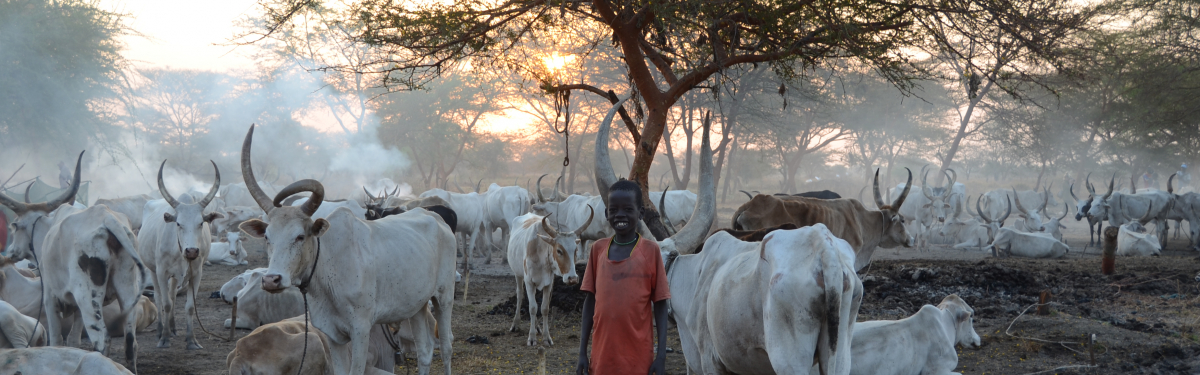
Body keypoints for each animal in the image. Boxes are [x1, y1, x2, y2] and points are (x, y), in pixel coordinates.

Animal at [236, 126, 456, 375]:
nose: (271, 280)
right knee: (425, 351)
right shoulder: (333, 335)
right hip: (416, 304)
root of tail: (435, 217)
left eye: (300, 236)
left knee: (446, 346)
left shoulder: (361, 330)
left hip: (444, 296)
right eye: (267, 237)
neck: (327, 266)